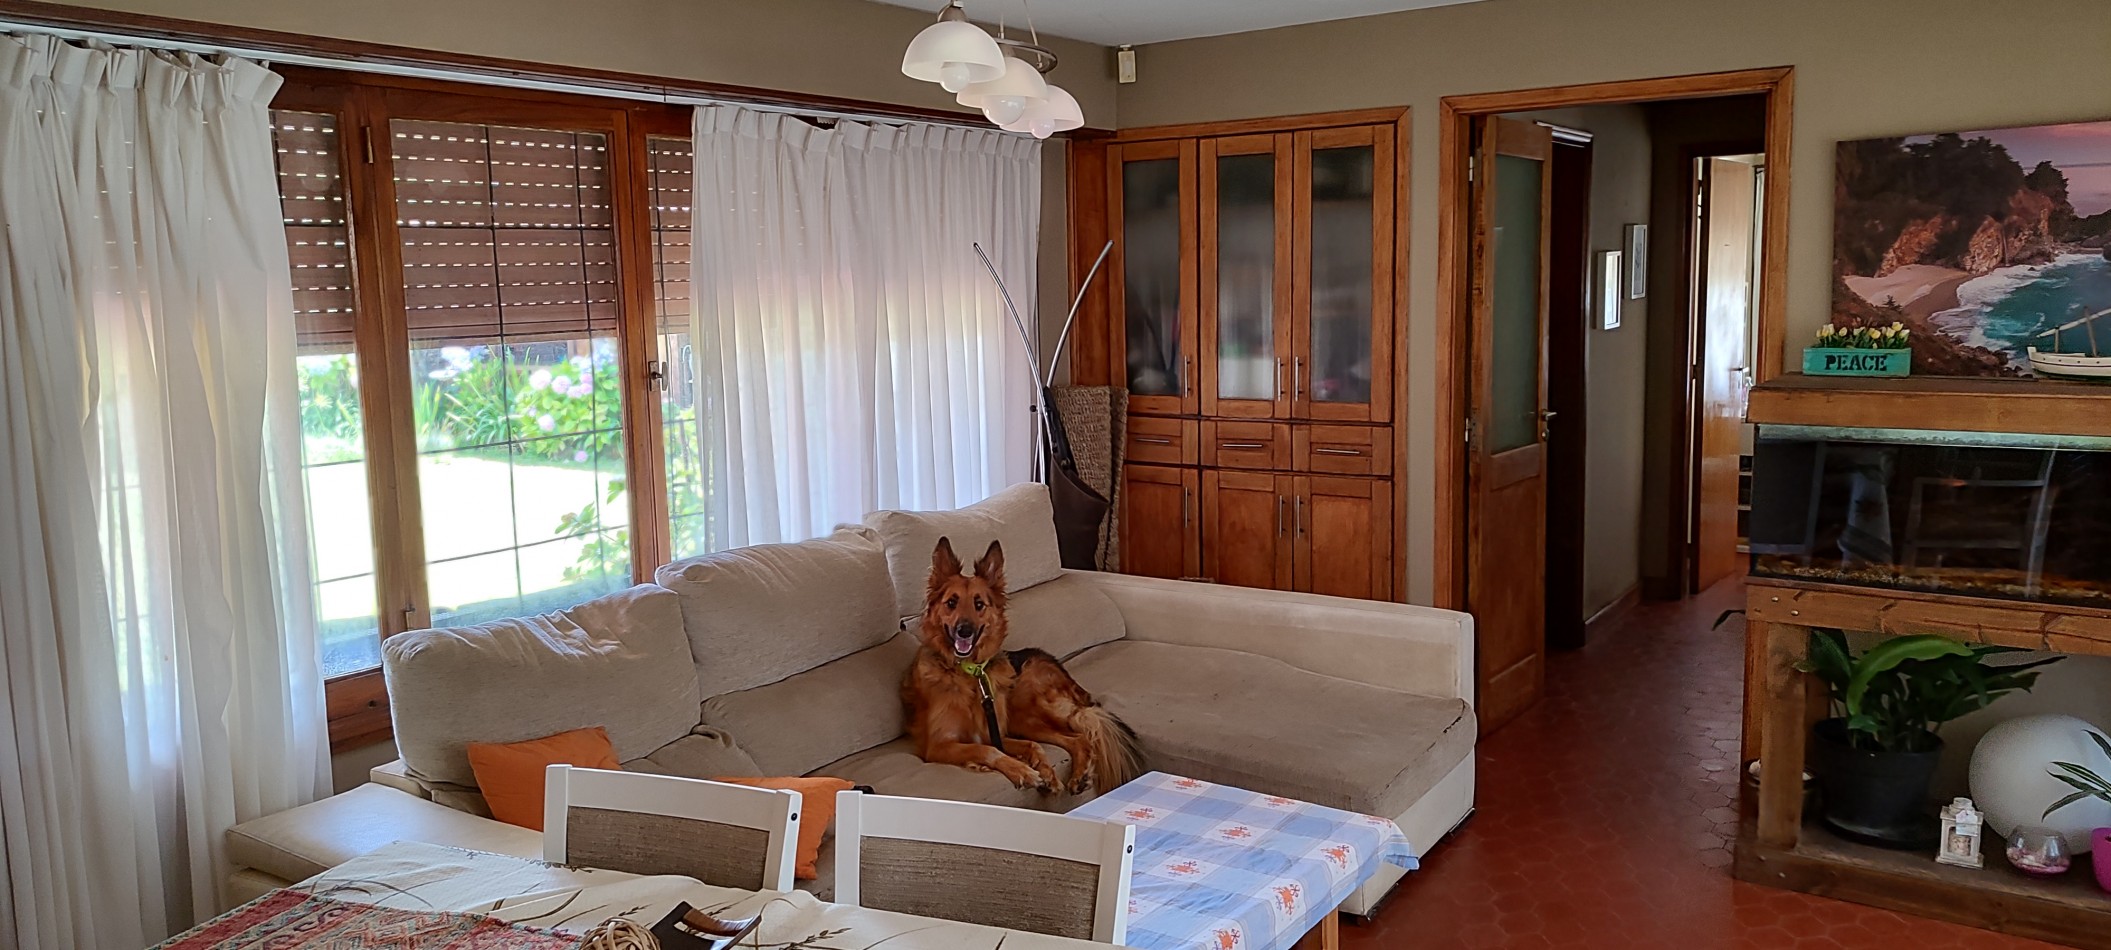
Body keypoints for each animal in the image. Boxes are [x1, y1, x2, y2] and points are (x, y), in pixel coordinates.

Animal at [902, 536, 1142, 794]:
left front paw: (1041, 771)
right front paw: (1026, 771)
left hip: (1024, 706)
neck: (969, 674)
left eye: (979, 604)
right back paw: (1078, 775)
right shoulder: (940, 745)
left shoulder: (992, 732)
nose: (964, 631)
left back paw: (1078, 775)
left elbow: (1026, 746)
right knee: (1075, 738)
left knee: (1078, 737)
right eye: (951, 603)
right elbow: (989, 750)